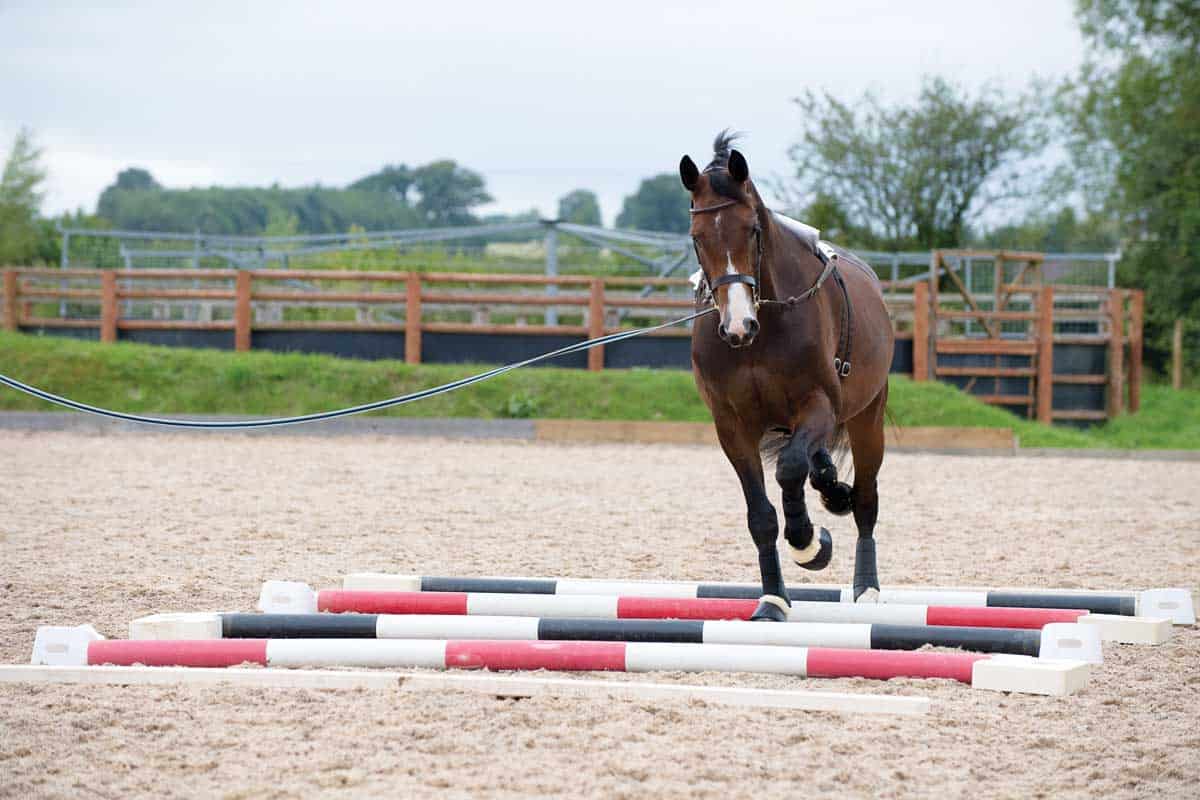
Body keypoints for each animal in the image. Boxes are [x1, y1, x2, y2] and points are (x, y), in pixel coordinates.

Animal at [680, 131, 894, 621]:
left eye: (752, 230)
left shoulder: (819, 407)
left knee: (865, 500)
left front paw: (810, 544)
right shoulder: (732, 427)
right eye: (697, 238)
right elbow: (760, 515)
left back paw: (866, 588)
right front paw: (773, 599)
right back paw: (831, 488)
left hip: (867, 418)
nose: (738, 326)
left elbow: (791, 468)